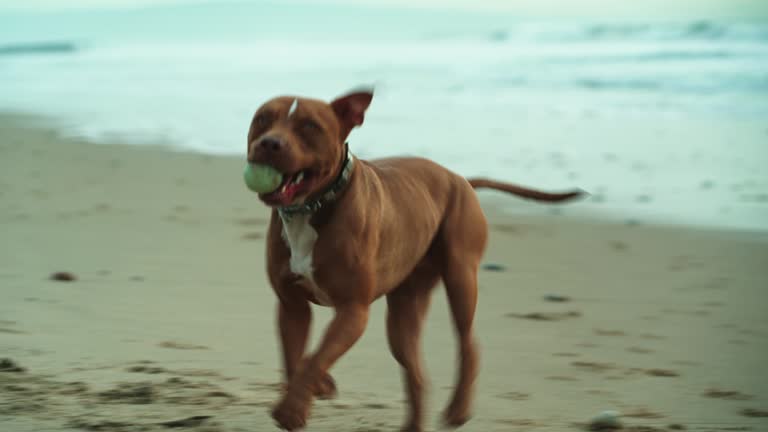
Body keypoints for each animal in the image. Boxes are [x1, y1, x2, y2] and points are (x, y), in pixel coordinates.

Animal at [246, 89, 584, 430]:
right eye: (263, 118)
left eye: (309, 126)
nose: (269, 143)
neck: (311, 206)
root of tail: (460, 178)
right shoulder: (292, 307)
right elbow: (297, 357)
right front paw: (314, 388)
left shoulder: (353, 311)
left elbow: (317, 356)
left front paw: (292, 409)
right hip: (404, 312)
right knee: (417, 373)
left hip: (461, 277)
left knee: (468, 342)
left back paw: (458, 408)